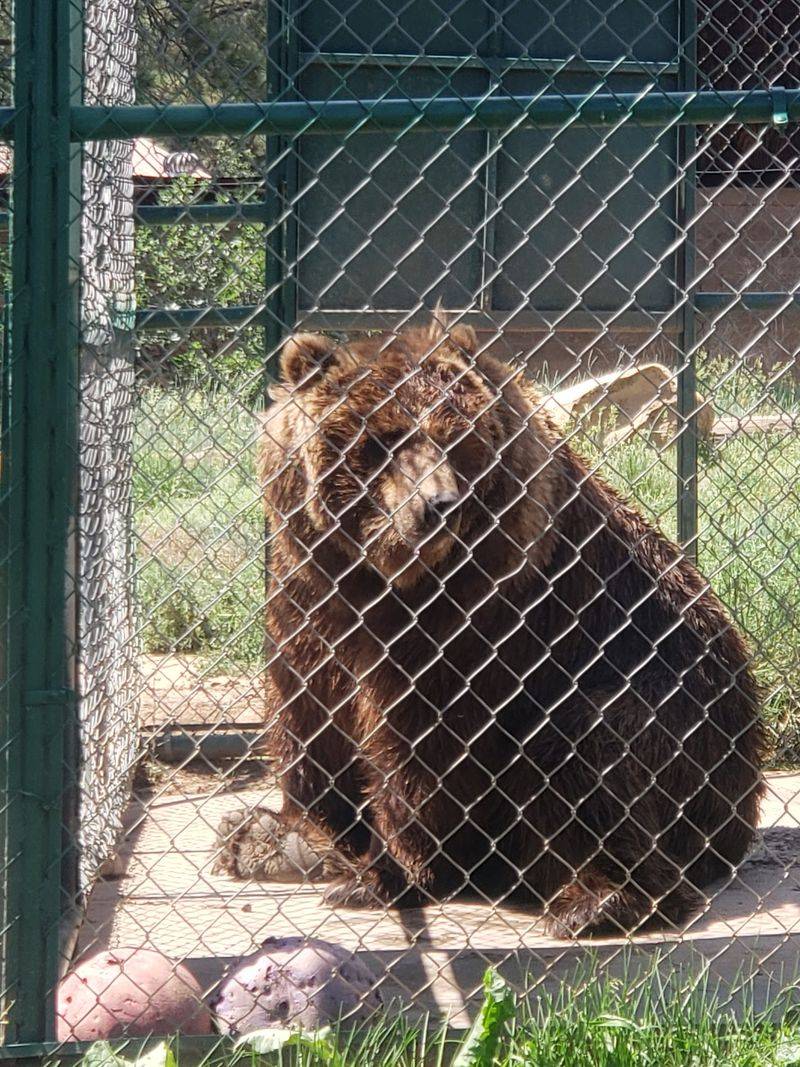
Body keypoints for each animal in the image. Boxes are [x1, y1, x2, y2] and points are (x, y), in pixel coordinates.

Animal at [214, 314, 765, 936]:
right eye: (384, 439)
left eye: (456, 439)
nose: (438, 505)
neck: (384, 579)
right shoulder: (308, 594)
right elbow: (310, 715)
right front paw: (284, 835)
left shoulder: (480, 618)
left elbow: (427, 740)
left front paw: (385, 871)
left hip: (685, 720)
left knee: (587, 742)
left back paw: (599, 898)